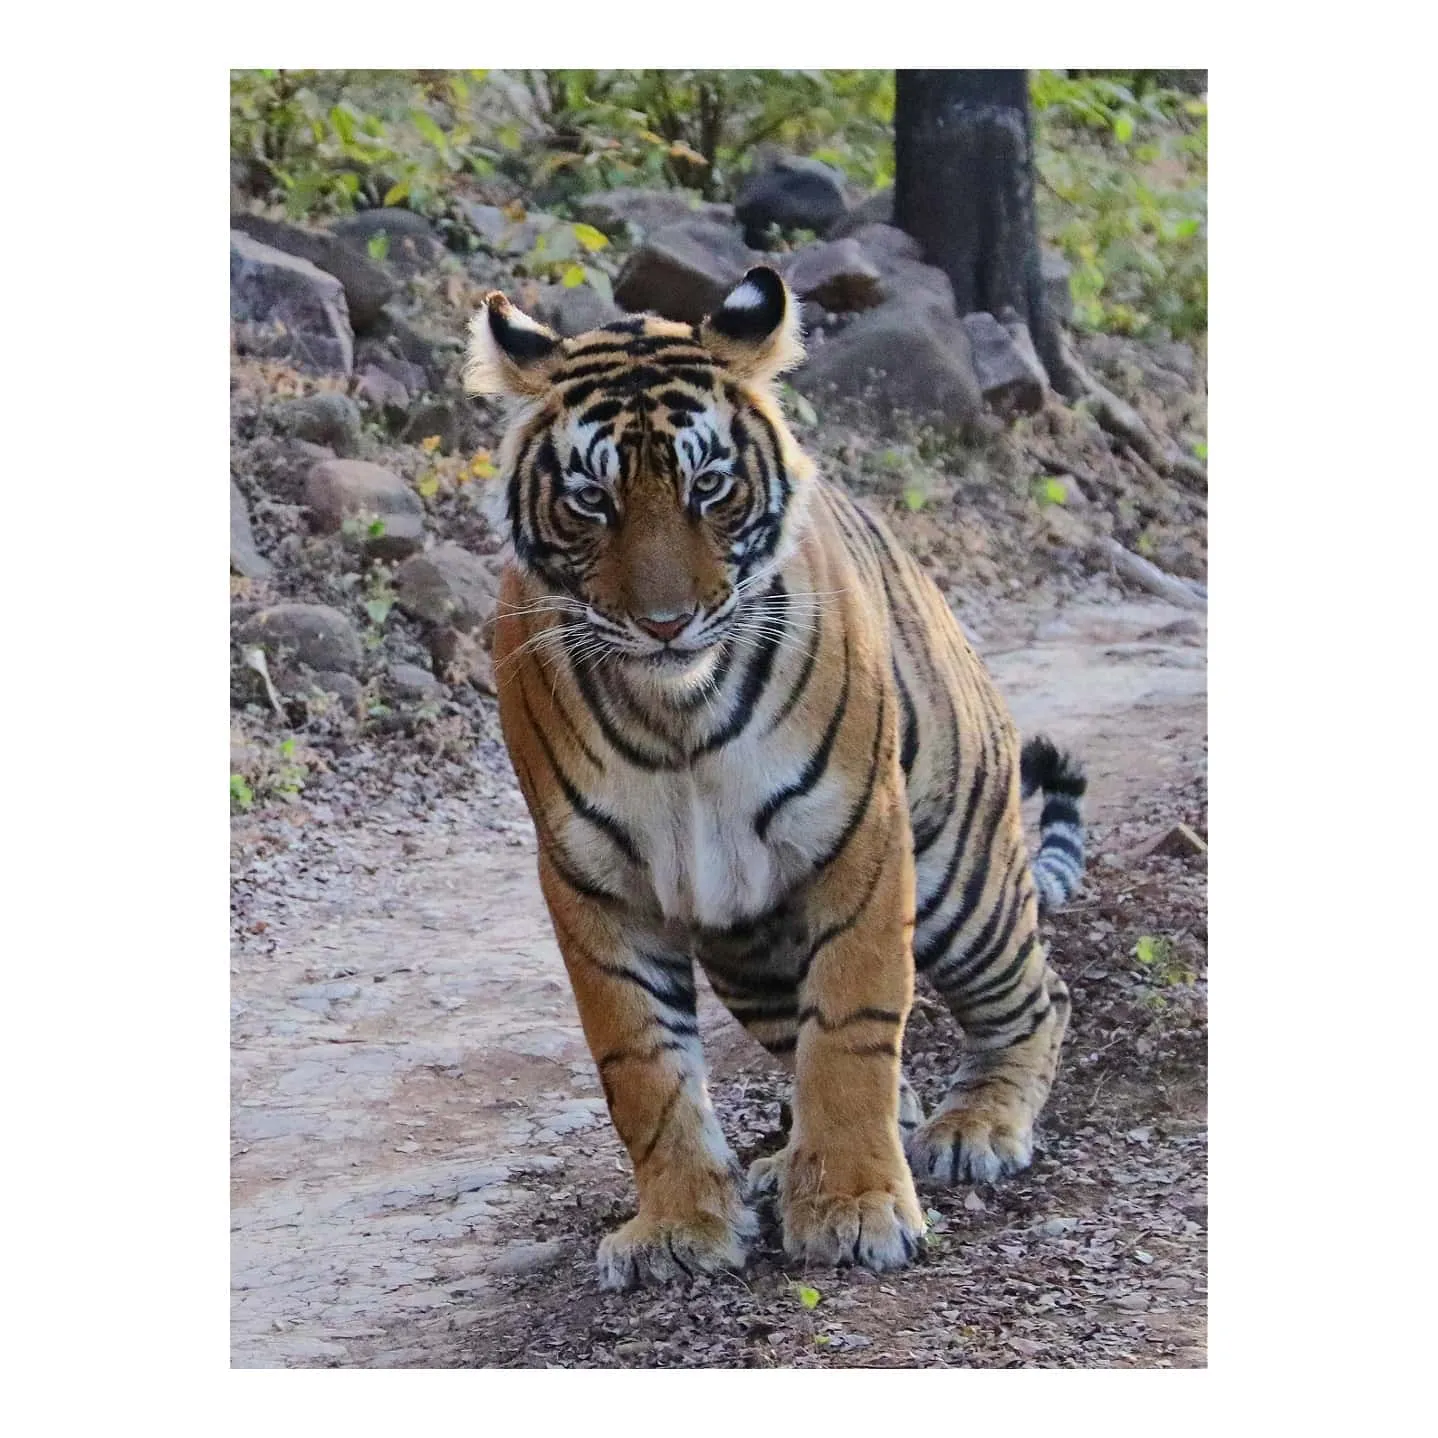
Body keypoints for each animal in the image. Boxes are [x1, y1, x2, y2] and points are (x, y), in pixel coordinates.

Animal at [463, 265, 1087, 1290]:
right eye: (592, 500)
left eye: (708, 486)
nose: (666, 623)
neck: (676, 713)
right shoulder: (590, 878)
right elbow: (642, 1062)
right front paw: (679, 1226)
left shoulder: (859, 839)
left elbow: (852, 1035)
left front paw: (855, 1210)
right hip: (741, 943)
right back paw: (784, 1163)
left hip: (960, 874)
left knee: (1039, 999)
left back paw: (977, 1126)